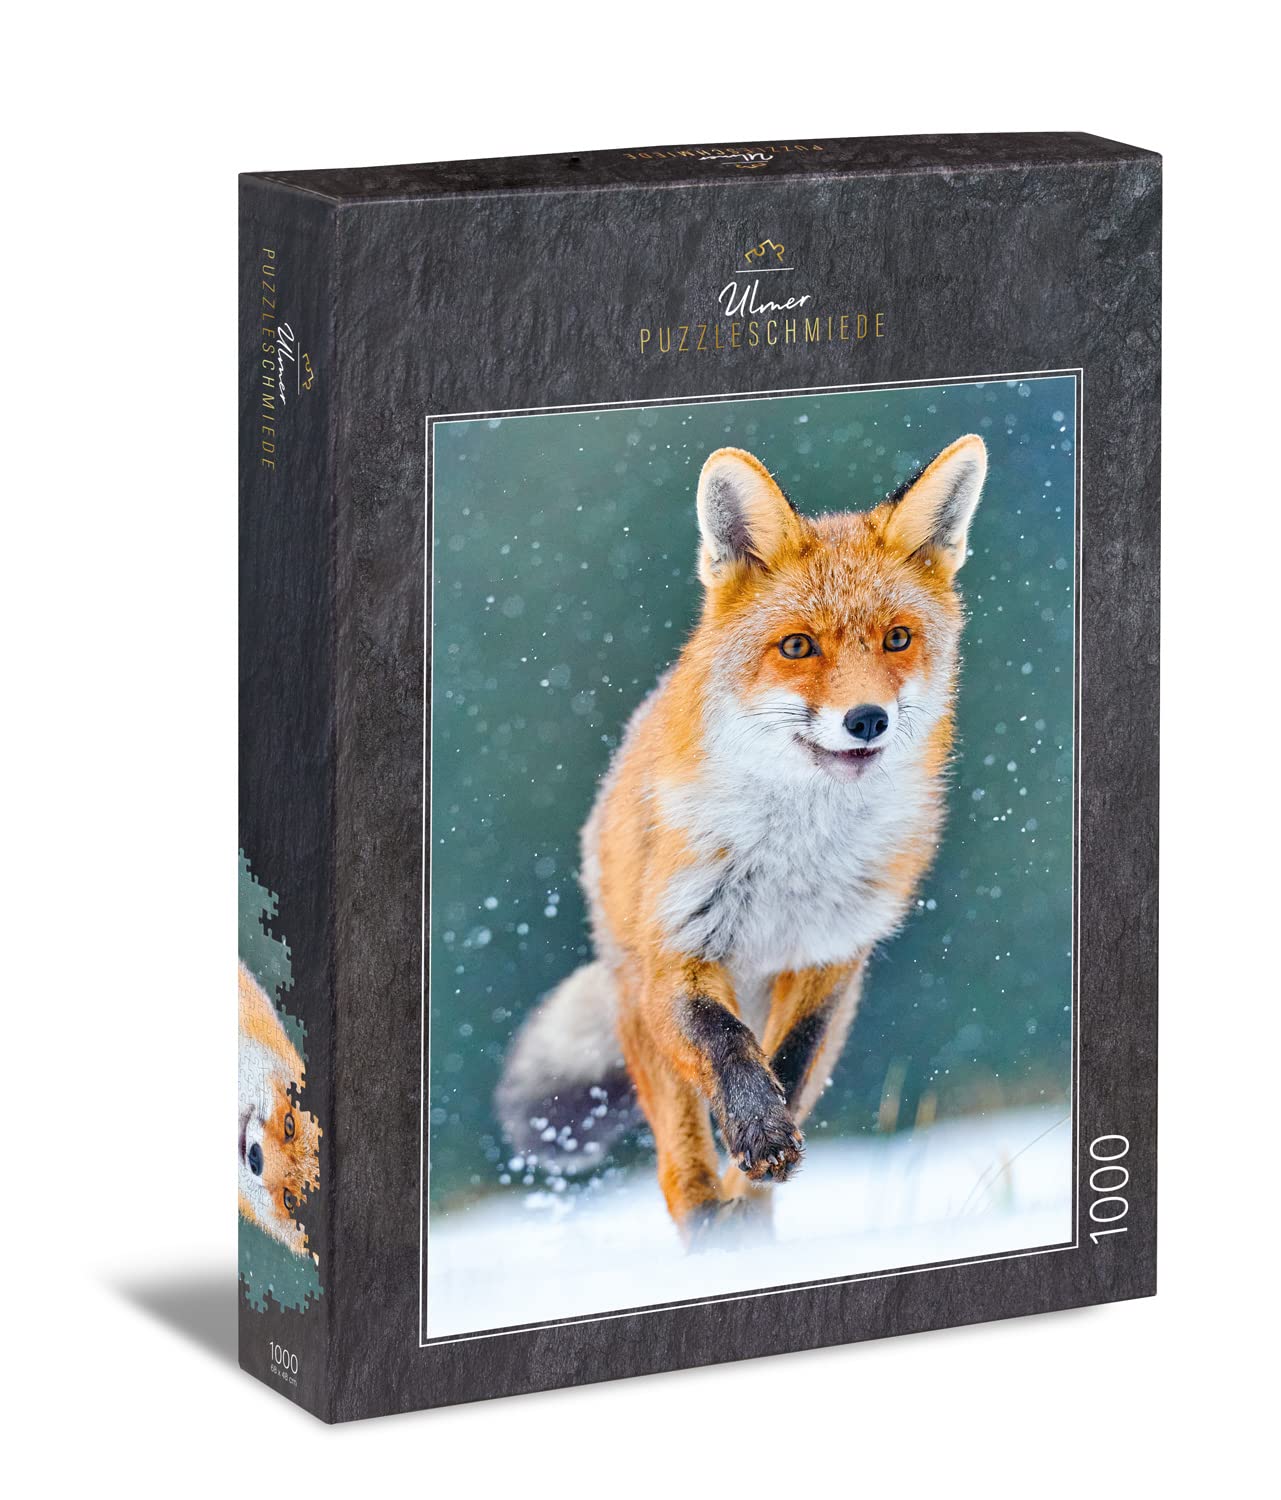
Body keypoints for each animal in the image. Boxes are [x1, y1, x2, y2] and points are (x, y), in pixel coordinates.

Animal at [497, 434, 987, 1245]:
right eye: (797, 646)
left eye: (897, 639)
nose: (867, 719)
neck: (795, 858)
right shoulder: (680, 951)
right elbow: (728, 1048)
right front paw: (757, 1129)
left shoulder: (829, 959)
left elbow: (788, 1063)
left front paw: (766, 1140)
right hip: (642, 1010)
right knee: (682, 1175)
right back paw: (712, 1232)